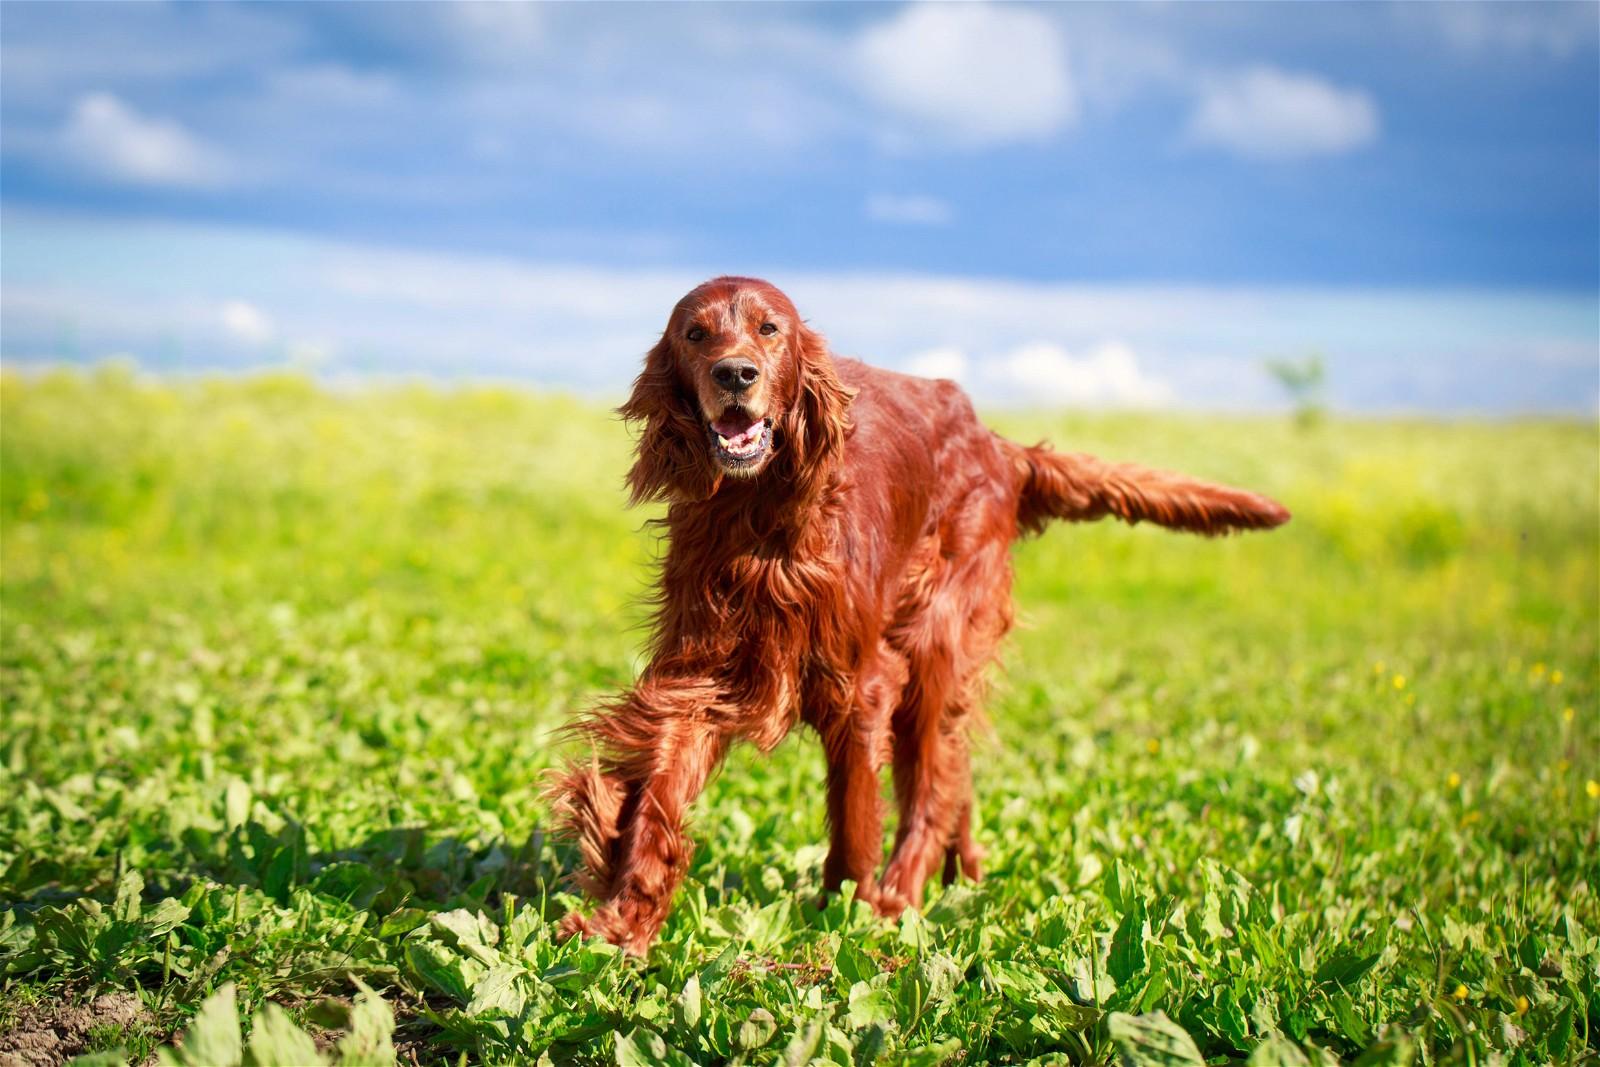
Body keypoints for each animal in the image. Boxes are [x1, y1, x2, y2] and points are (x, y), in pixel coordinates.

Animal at [550, 278, 1286, 959]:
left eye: (769, 329)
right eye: (696, 334)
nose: (736, 375)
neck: (759, 518)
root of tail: (1000, 446)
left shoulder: (862, 686)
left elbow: (855, 819)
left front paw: (846, 918)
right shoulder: (701, 675)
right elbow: (657, 795)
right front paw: (622, 924)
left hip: (937, 644)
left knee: (932, 786)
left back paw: (902, 896)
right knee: (955, 773)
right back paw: (963, 879)